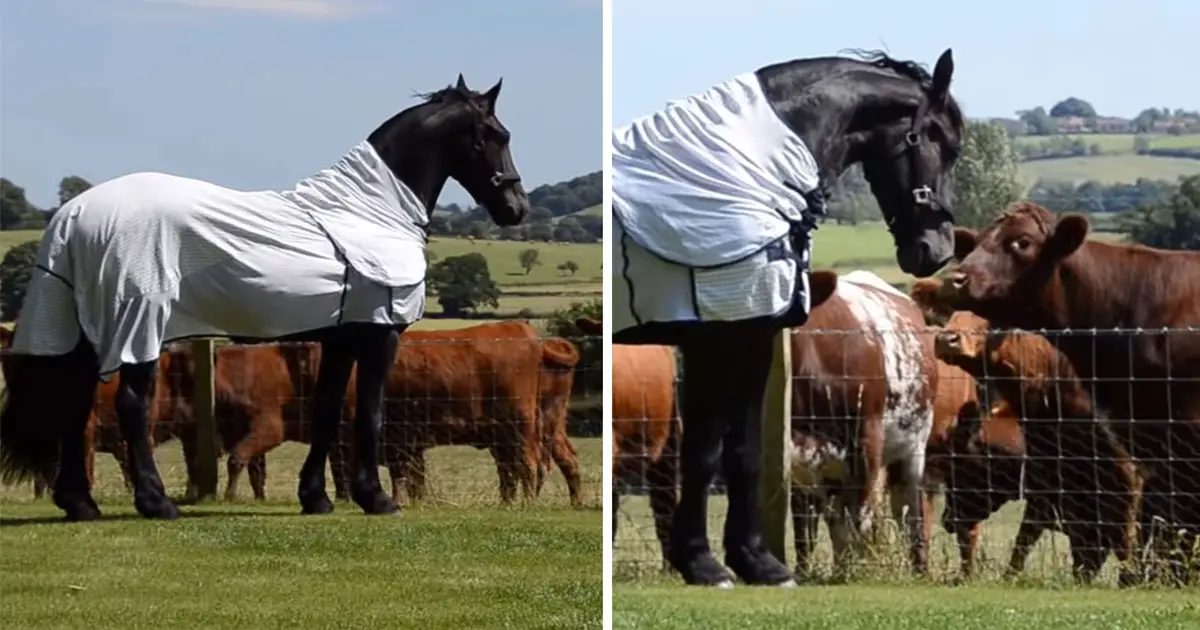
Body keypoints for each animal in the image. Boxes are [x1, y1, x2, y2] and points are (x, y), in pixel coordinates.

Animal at [0, 75, 528, 520]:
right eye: (497, 135)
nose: (516, 208)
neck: (368, 212)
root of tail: (73, 213)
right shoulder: (379, 336)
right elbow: (370, 414)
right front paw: (375, 498)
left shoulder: (339, 339)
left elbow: (326, 410)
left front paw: (315, 498)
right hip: (138, 326)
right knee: (132, 405)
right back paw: (156, 503)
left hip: (85, 335)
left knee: (74, 405)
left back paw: (80, 503)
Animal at [614, 49, 969, 585]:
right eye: (942, 144)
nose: (936, 249)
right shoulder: (721, 339)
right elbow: (707, 451)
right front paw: (703, 563)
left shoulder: (743, 340)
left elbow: (740, 452)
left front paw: (751, 560)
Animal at [912, 282, 1147, 583]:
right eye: (950, 310)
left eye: (961, 470)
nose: (946, 339)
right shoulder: (1056, 494)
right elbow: (1030, 543)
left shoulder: (1128, 483)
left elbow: (1126, 547)